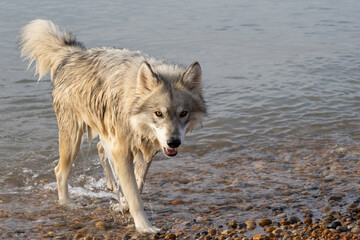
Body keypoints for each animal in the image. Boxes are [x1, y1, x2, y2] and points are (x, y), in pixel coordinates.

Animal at [19, 19, 205, 233]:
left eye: (183, 113)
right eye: (158, 113)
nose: (174, 142)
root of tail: (73, 54)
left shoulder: (146, 149)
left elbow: (138, 184)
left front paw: (123, 204)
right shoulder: (123, 151)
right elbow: (135, 197)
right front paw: (144, 227)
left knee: (100, 148)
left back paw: (110, 185)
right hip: (72, 140)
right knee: (60, 171)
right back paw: (67, 204)